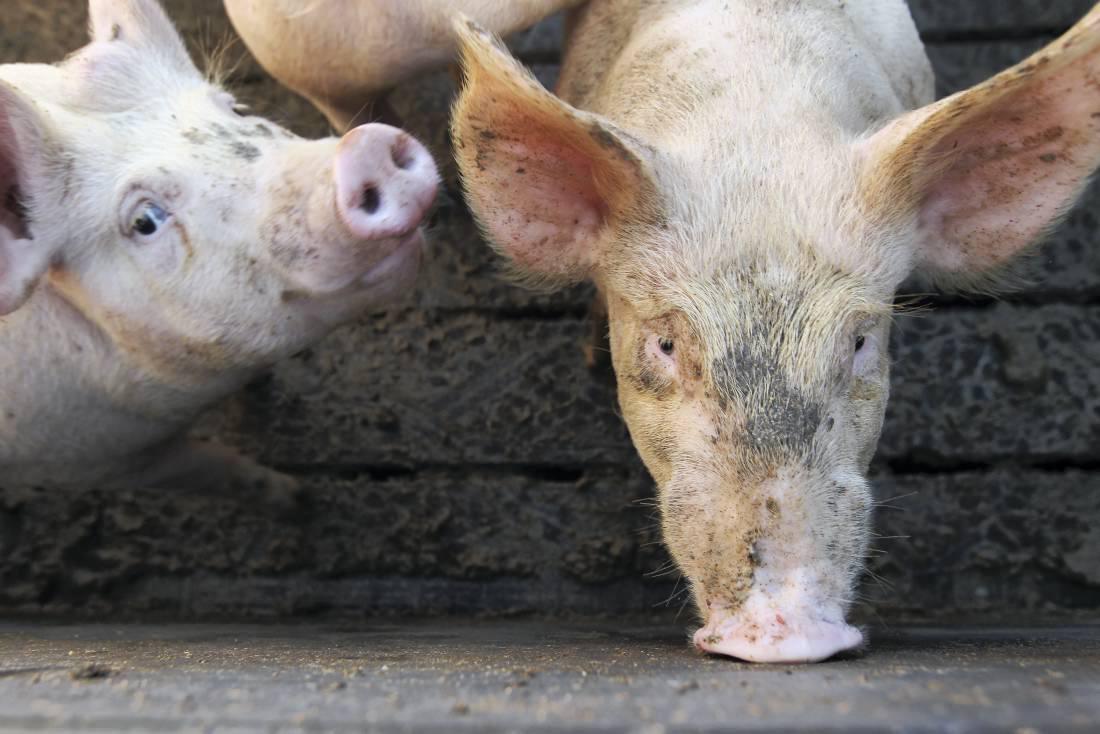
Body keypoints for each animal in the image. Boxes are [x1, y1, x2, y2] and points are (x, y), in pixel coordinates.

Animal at [0, 0, 439, 501]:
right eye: (145, 221)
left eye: (238, 109)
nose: (364, 146)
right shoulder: (93, 462)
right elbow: (214, 469)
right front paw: (297, 496)